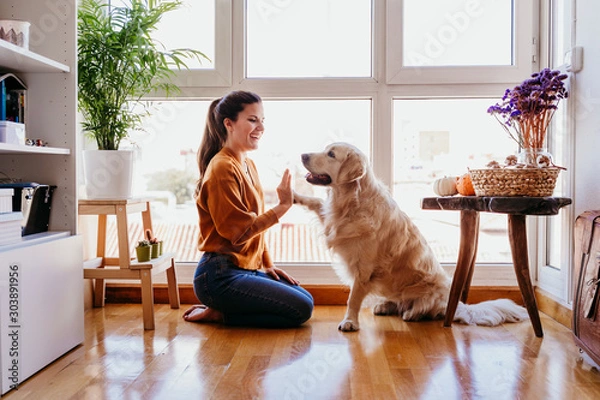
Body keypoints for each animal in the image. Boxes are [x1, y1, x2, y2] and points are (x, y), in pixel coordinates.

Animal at [292, 143, 528, 332]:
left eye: (331, 154)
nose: (302, 155)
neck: (351, 202)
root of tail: (456, 304)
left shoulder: (364, 269)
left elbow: (353, 299)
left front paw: (349, 322)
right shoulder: (332, 221)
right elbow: (316, 202)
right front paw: (293, 195)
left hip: (430, 292)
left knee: (427, 309)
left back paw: (412, 313)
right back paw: (385, 306)